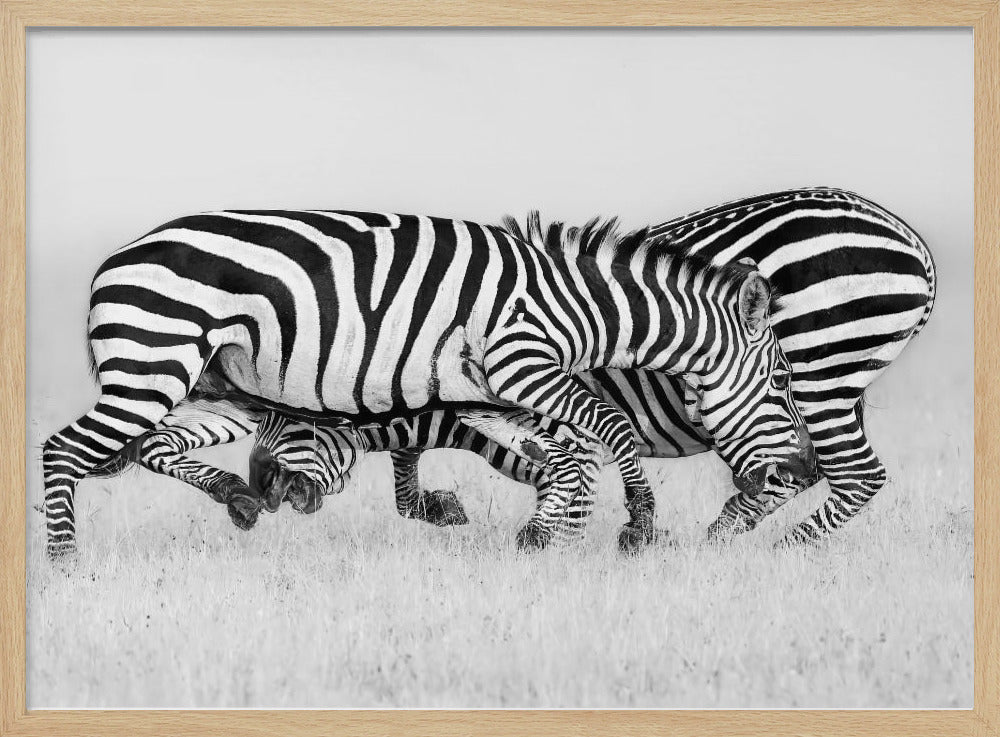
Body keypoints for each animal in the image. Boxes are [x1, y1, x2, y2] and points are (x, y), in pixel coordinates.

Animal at [42, 208, 811, 556]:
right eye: (781, 381)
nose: (804, 470)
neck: (581, 306)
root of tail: (115, 257)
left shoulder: (487, 394)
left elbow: (559, 453)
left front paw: (546, 533)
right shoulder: (523, 362)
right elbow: (608, 429)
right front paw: (637, 524)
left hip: (210, 384)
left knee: (153, 446)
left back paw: (236, 494)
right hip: (153, 366)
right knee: (62, 450)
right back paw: (65, 564)